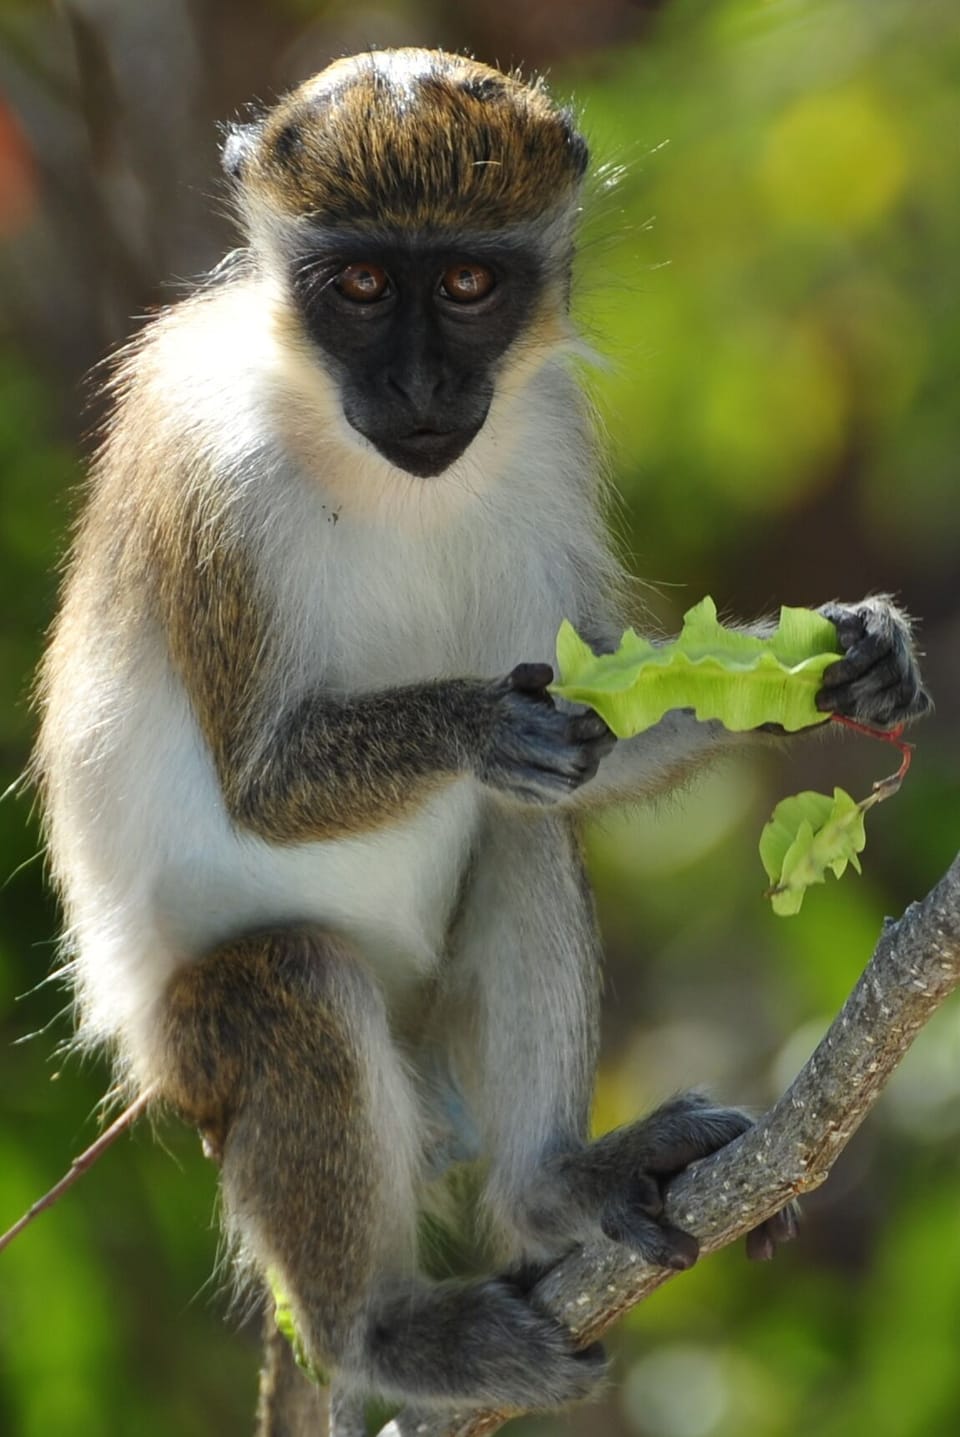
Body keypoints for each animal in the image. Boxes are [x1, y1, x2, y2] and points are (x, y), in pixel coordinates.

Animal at [33, 48, 930, 1421]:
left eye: (466, 283)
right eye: (358, 284)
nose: (417, 389)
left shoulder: (548, 433)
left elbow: (597, 729)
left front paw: (843, 661)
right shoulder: (209, 475)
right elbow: (260, 787)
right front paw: (476, 722)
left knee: (523, 835)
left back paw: (552, 1187)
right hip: (201, 1055)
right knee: (292, 977)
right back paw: (381, 1332)